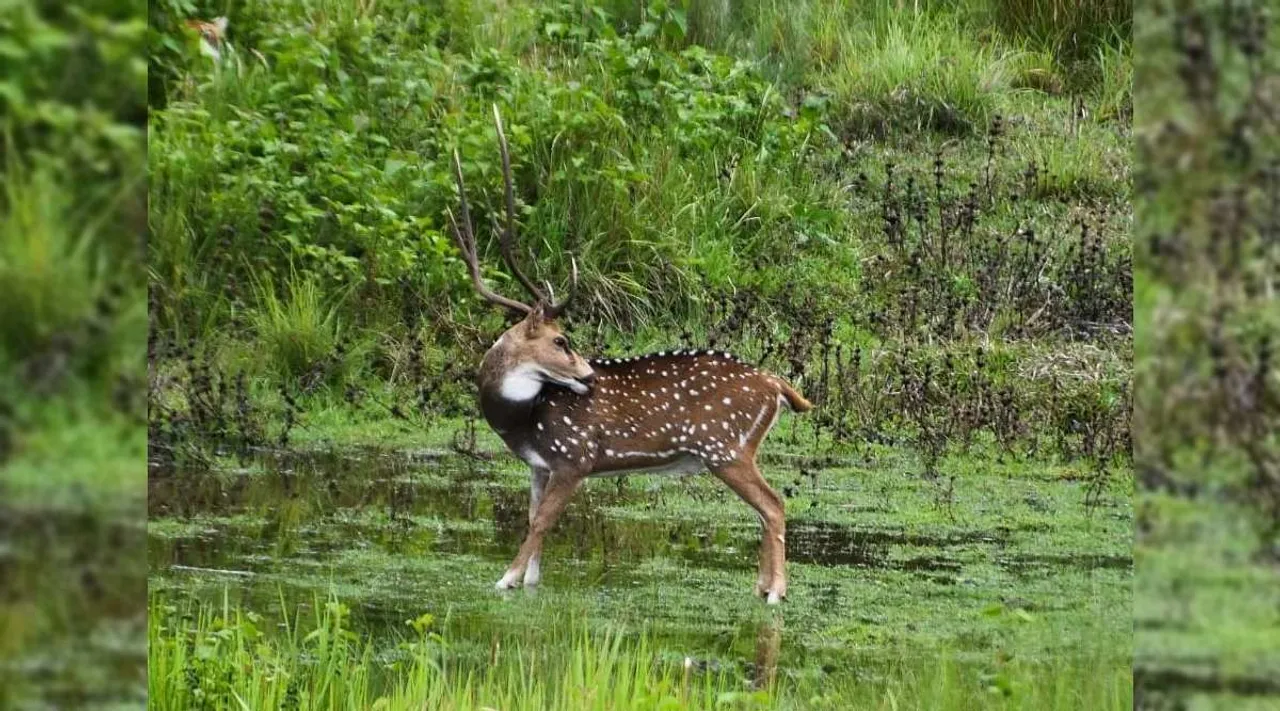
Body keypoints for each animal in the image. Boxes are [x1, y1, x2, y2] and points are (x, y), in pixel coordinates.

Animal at [448, 108, 808, 604]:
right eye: (561, 342)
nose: (590, 376)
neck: (522, 419)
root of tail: (777, 385)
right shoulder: (539, 465)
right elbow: (533, 518)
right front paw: (529, 580)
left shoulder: (575, 456)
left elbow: (543, 522)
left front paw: (505, 578)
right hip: (733, 450)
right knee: (765, 508)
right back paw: (761, 587)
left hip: (725, 446)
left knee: (774, 504)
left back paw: (776, 592)